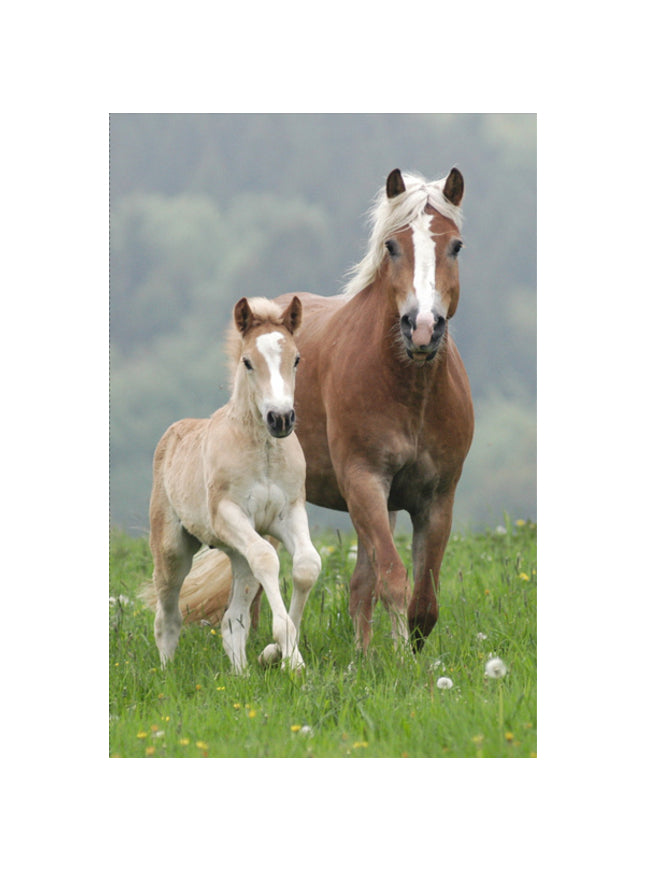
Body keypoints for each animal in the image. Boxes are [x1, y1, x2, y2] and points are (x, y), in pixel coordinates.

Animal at [145, 295, 321, 673]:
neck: (264, 452)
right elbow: (268, 558)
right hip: (172, 549)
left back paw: (240, 675)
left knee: (232, 620)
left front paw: (279, 653)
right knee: (167, 616)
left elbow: (306, 566)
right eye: (247, 361)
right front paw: (292, 659)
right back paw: (166, 674)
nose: (280, 418)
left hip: (237, 554)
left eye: (297, 359)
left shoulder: (289, 512)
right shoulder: (227, 513)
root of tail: (173, 432)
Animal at [176, 168, 474, 652]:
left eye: (456, 246)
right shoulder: (364, 482)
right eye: (392, 246)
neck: (410, 391)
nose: (422, 328)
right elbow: (393, 578)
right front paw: (399, 660)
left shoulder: (436, 498)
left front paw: (403, 653)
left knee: (359, 585)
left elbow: (423, 601)